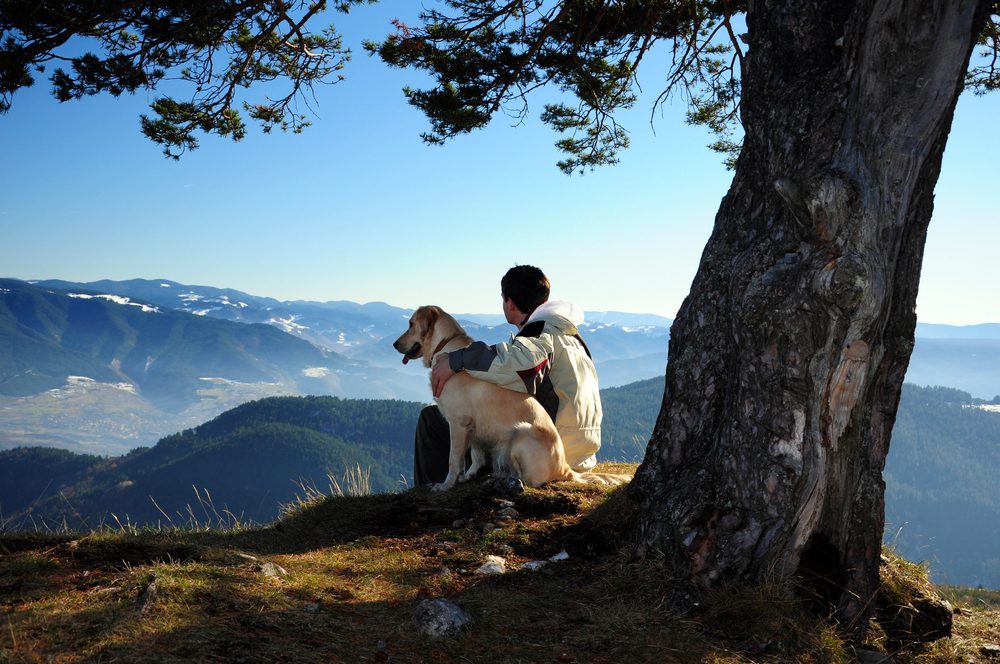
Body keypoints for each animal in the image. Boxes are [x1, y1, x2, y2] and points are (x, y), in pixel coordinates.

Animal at [394, 308, 628, 490]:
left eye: (410, 324)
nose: (395, 344)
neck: (444, 345)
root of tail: (566, 468)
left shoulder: (458, 423)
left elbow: (453, 460)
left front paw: (446, 485)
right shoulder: (475, 425)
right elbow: (476, 455)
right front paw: (469, 475)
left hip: (520, 433)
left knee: (532, 481)